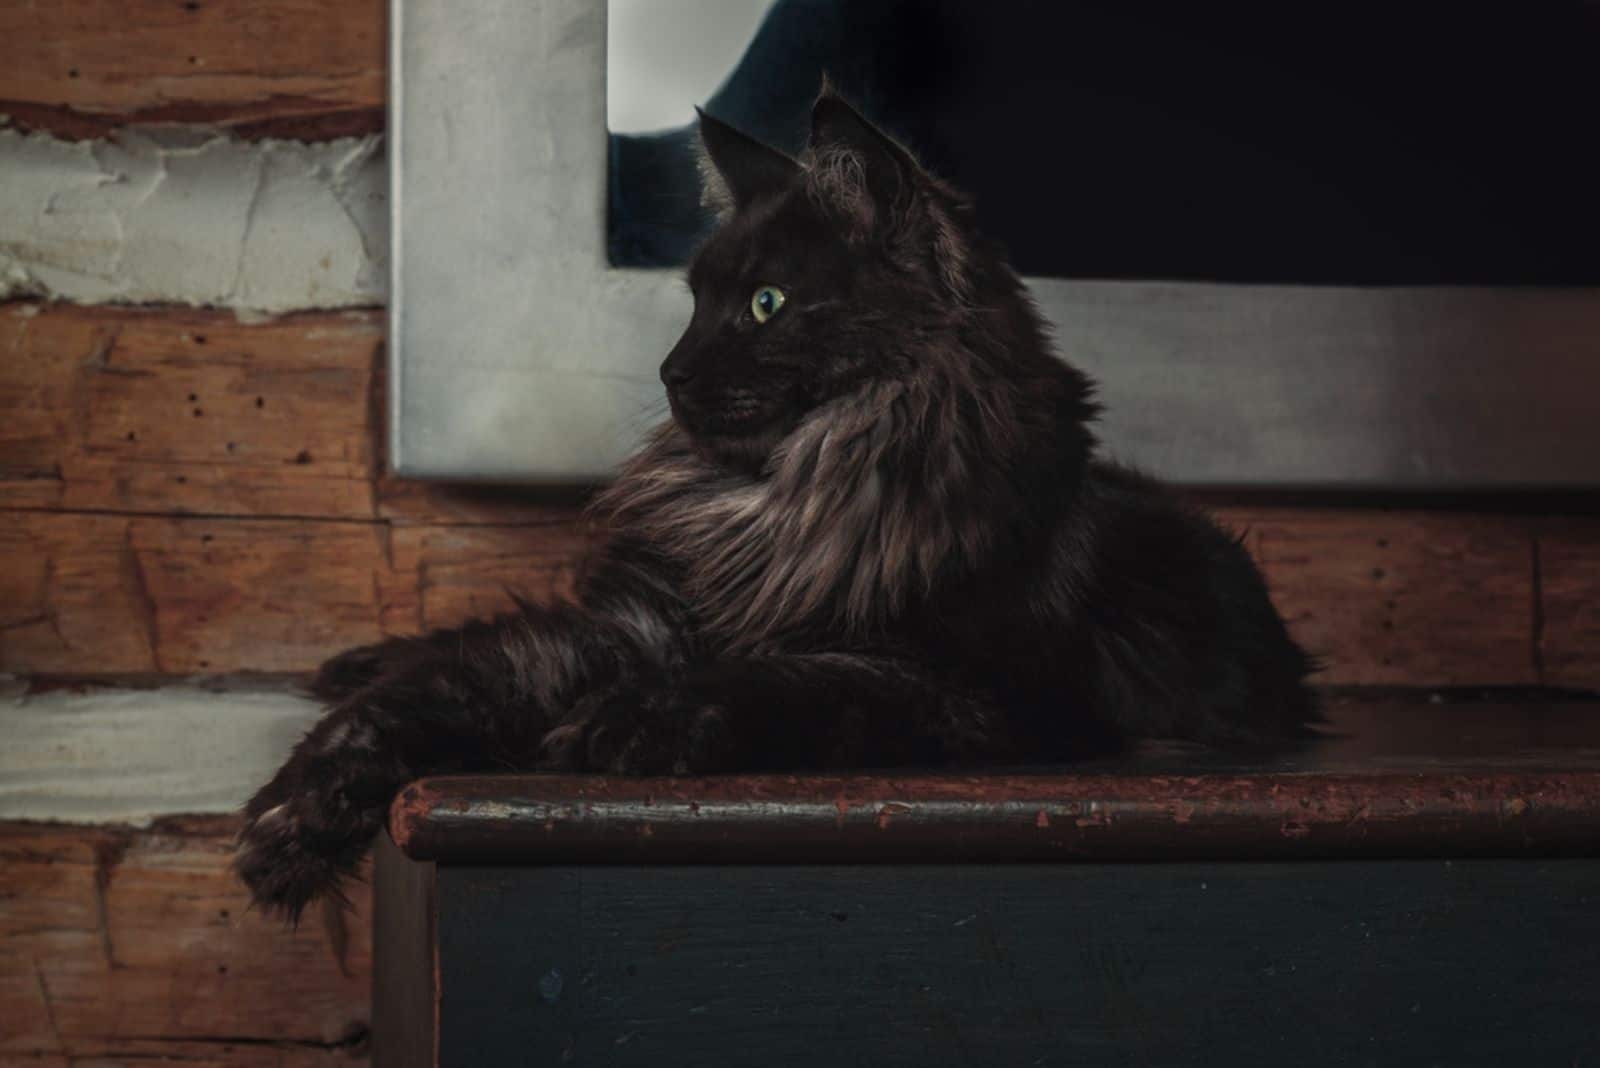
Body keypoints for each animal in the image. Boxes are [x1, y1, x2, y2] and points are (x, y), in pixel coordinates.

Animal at [233, 87, 1312, 920]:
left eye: (765, 305)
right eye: (694, 302)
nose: (669, 372)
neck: (788, 506)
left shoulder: (973, 692)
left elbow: (791, 681)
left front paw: (631, 724)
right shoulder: (634, 625)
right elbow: (435, 689)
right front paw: (293, 819)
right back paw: (354, 658)